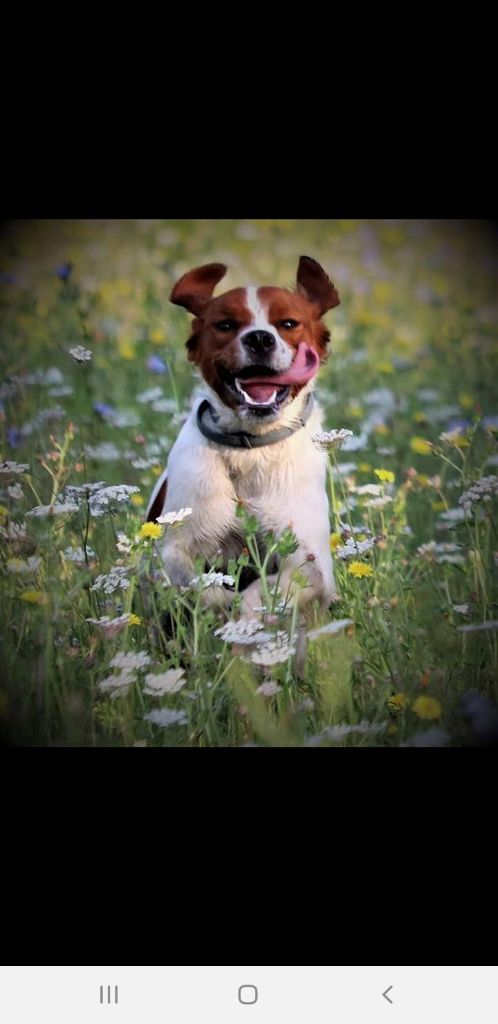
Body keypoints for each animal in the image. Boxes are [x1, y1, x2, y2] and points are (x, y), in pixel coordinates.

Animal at [145, 256, 340, 618]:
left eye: (288, 323)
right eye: (225, 325)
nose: (260, 339)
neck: (250, 450)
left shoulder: (308, 553)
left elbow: (270, 589)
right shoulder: (178, 544)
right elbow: (195, 583)